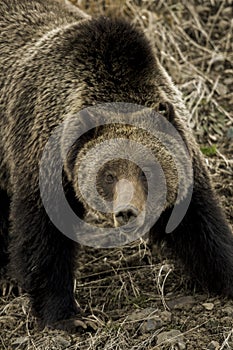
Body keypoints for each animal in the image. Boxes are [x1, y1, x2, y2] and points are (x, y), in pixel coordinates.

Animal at [0, 0, 233, 330]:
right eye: (108, 174)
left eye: (149, 170)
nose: (127, 211)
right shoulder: (43, 157)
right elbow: (44, 242)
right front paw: (68, 316)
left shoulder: (183, 157)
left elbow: (201, 228)